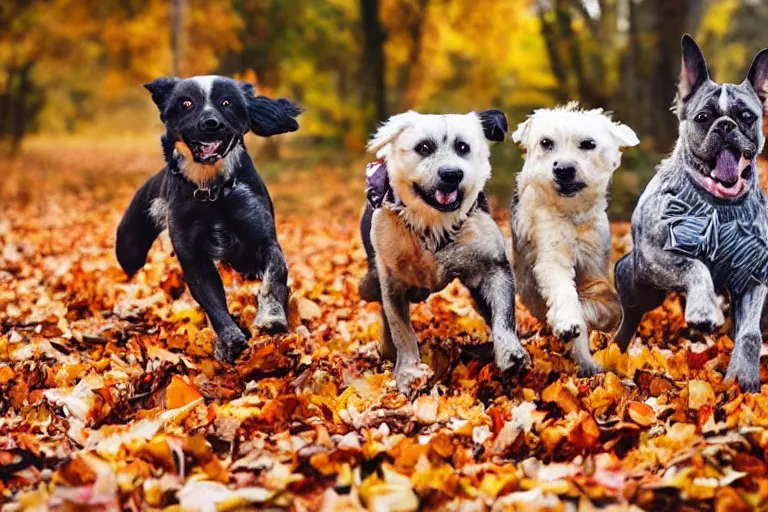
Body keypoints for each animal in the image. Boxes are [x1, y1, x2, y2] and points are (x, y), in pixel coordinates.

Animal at [117, 76, 304, 362]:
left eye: (226, 102)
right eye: (186, 103)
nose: (210, 123)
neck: (212, 190)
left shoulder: (262, 239)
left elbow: (275, 274)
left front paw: (271, 317)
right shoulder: (193, 256)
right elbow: (212, 301)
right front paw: (228, 339)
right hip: (129, 250)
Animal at [358, 110, 528, 394]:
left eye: (463, 147)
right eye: (424, 147)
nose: (452, 174)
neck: (433, 224)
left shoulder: (493, 265)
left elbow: (503, 313)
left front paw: (510, 352)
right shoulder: (392, 280)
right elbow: (400, 329)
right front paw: (409, 373)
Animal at [510, 103, 640, 376]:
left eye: (588, 144)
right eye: (546, 142)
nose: (563, 169)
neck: (572, 215)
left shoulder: (593, 266)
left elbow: (607, 308)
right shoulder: (551, 257)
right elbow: (564, 291)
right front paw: (568, 323)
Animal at [616, 34, 768, 390]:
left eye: (747, 117)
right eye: (702, 117)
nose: (725, 126)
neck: (722, 205)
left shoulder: (753, 277)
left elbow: (751, 332)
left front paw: (744, 375)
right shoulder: (658, 254)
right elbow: (694, 266)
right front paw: (704, 311)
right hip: (637, 282)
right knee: (630, 311)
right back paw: (613, 348)